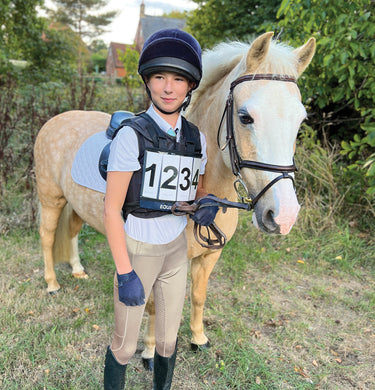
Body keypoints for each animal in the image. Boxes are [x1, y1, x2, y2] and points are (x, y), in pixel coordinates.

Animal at [34, 32, 318, 366]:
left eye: (300, 121)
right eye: (245, 117)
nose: (283, 215)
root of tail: (58, 119)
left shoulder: (209, 255)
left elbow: (198, 295)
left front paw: (198, 338)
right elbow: (155, 307)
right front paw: (150, 351)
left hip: (76, 205)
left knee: (72, 232)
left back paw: (78, 269)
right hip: (51, 199)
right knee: (48, 236)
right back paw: (52, 284)